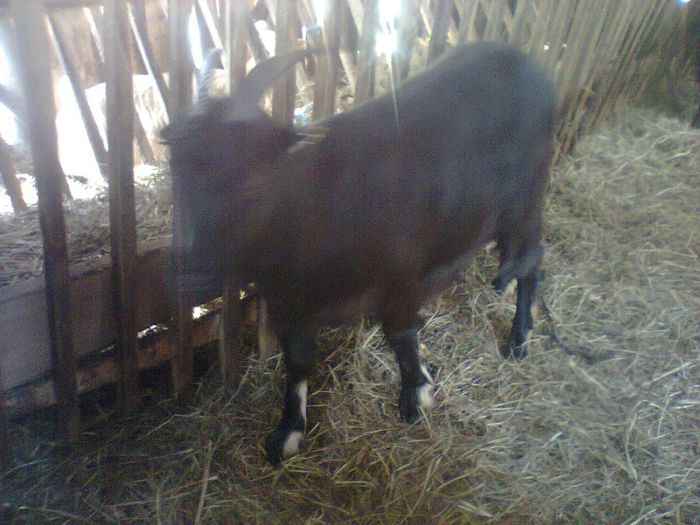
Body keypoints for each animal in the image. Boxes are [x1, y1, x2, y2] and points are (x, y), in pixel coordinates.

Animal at [162, 42, 556, 465]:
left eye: (256, 182)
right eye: (178, 174)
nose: (191, 274)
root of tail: (522, 61)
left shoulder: (401, 281)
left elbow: (401, 336)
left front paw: (416, 395)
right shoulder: (289, 306)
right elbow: (298, 363)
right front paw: (287, 433)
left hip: (525, 201)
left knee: (532, 259)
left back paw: (519, 337)